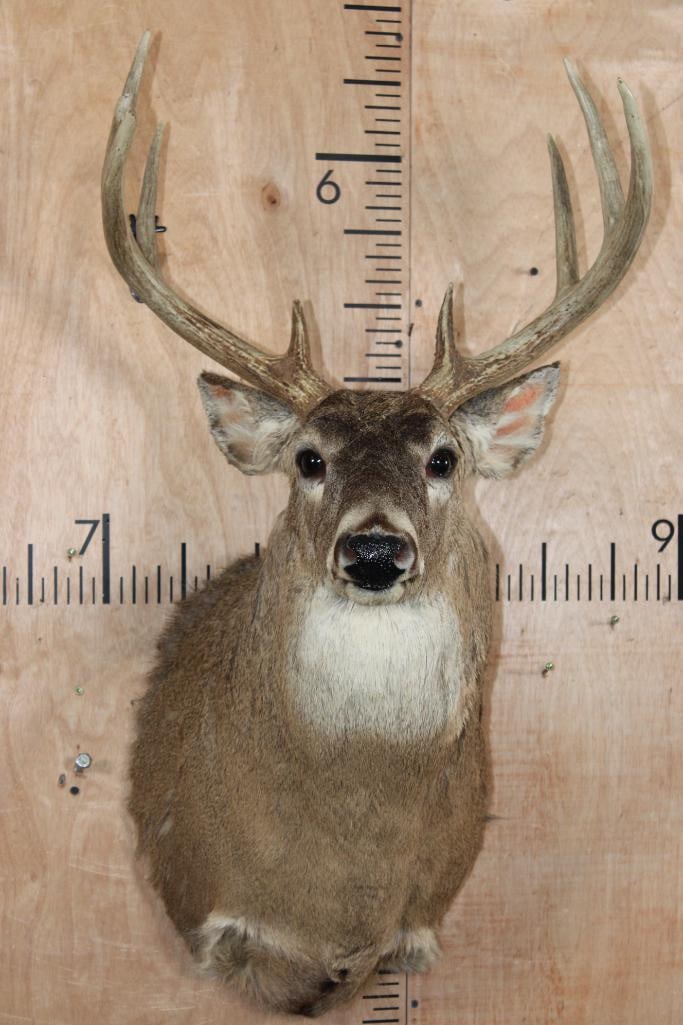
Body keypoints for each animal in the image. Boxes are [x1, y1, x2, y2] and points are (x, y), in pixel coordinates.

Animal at [102, 33, 651, 1018]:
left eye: (444, 458)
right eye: (307, 458)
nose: (372, 548)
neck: (344, 876)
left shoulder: (418, 918)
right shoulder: (215, 908)